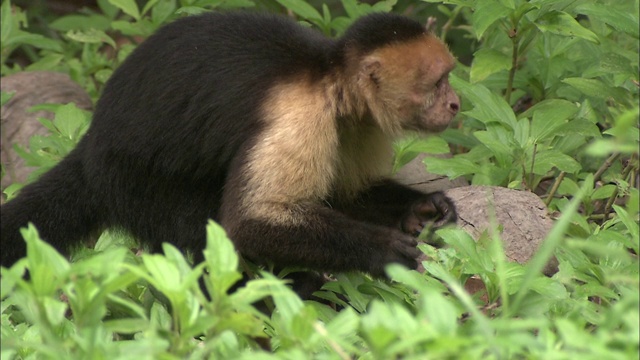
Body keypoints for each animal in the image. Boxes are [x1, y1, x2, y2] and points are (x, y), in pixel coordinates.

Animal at [0, 11, 460, 278]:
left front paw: (420, 207)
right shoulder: (300, 118)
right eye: (437, 83)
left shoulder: (358, 126)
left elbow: (349, 194)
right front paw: (382, 251)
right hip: (134, 178)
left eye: (448, 77)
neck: (332, 85)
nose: (455, 103)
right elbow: (251, 223)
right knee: (196, 236)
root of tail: (92, 146)